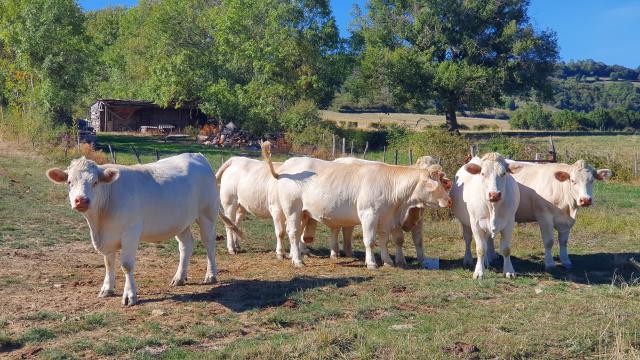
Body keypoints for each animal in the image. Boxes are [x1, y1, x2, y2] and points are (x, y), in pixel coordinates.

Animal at [260, 142, 450, 268]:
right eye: (437, 181)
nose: (449, 200)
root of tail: (287, 165)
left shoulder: (386, 218)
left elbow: (384, 239)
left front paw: (388, 261)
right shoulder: (369, 214)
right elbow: (369, 240)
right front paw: (371, 263)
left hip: (303, 213)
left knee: (298, 234)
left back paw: (297, 256)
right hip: (292, 209)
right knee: (292, 233)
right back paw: (298, 261)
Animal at [478, 159, 612, 268]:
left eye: (592, 180)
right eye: (573, 181)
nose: (585, 200)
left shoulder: (567, 221)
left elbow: (563, 241)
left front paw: (566, 261)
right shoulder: (544, 216)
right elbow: (549, 241)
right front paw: (550, 263)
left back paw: (492, 256)